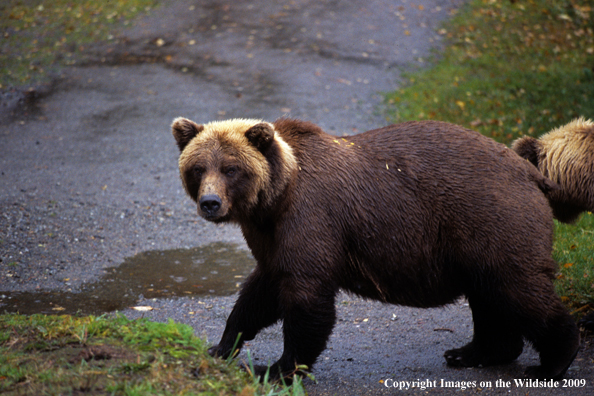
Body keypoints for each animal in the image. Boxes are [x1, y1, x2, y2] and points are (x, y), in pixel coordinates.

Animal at [169, 117, 576, 380]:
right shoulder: (271, 237)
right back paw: (471, 352)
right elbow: (259, 295)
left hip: (492, 218)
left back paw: (552, 361)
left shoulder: (312, 219)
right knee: (490, 295)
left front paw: (276, 368)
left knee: (518, 288)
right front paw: (221, 346)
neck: (275, 199)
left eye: (231, 168)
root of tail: (530, 172)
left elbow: (306, 301)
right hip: (476, 242)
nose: (210, 203)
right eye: (198, 167)